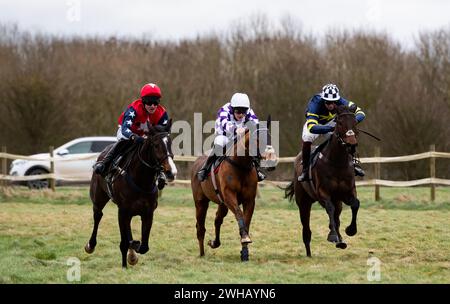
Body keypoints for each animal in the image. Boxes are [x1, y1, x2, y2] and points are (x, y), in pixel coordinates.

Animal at [85, 120, 177, 268]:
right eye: (156, 145)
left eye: (170, 143)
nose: (171, 172)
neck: (141, 181)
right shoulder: (122, 212)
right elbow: (124, 243)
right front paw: (126, 263)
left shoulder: (148, 213)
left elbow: (143, 246)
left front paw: (133, 252)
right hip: (99, 198)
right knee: (98, 216)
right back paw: (90, 245)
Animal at [189, 120, 274, 262]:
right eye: (257, 139)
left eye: (270, 136)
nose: (271, 160)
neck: (241, 165)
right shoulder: (230, 197)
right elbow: (239, 214)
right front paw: (244, 238)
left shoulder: (249, 200)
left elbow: (246, 221)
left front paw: (244, 252)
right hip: (201, 202)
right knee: (200, 227)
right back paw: (202, 253)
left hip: (222, 204)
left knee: (217, 220)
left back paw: (214, 243)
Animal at [284, 105, 362, 258]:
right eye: (340, 123)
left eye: (355, 122)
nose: (351, 144)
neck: (337, 162)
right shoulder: (323, 192)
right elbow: (330, 208)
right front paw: (332, 236)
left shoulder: (348, 192)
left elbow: (355, 204)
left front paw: (350, 230)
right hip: (304, 202)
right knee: (307, 228)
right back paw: (309, 252)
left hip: (337, 201)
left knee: (336, 217)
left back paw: (340, 240)